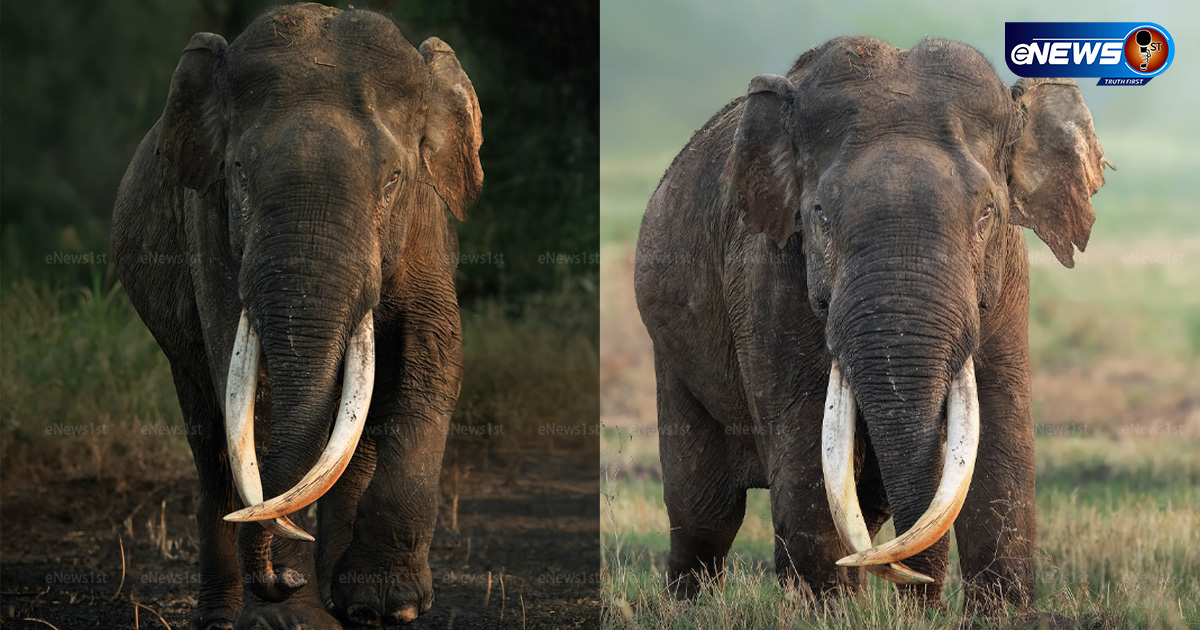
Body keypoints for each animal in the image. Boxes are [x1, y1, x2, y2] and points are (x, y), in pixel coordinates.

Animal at [110, 5, 482, 629]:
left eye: (393, 179)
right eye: (239, 173)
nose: (279, 581)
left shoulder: (426, 223)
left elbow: (432, 357)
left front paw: (391, 607)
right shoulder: (208, 223)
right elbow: (245, 388)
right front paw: (292, 618)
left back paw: (351, 605)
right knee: (209, 435)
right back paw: (225, 615)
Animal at [634, 36, 1110, 613]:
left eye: (986, 215)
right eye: (819, 215)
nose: (922, 604)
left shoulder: (1009, 286)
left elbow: (1001, 431)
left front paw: (1003, 615)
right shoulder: (765, 275)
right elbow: (805, 440)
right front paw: (828, 614)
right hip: (672, 350)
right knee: (704, 508)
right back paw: (688, 605)